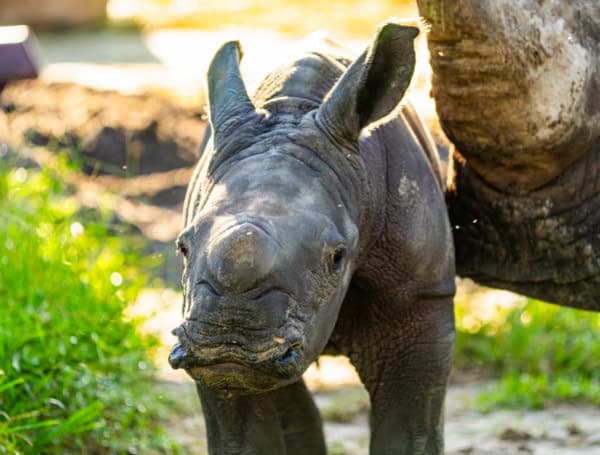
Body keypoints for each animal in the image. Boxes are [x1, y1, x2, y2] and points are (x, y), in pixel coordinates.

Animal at [169, 23, 454, 455]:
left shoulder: (421, 296)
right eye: (182, 247)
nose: (229, 344)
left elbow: (409, 432)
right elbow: (243, 435)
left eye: (337, 256)